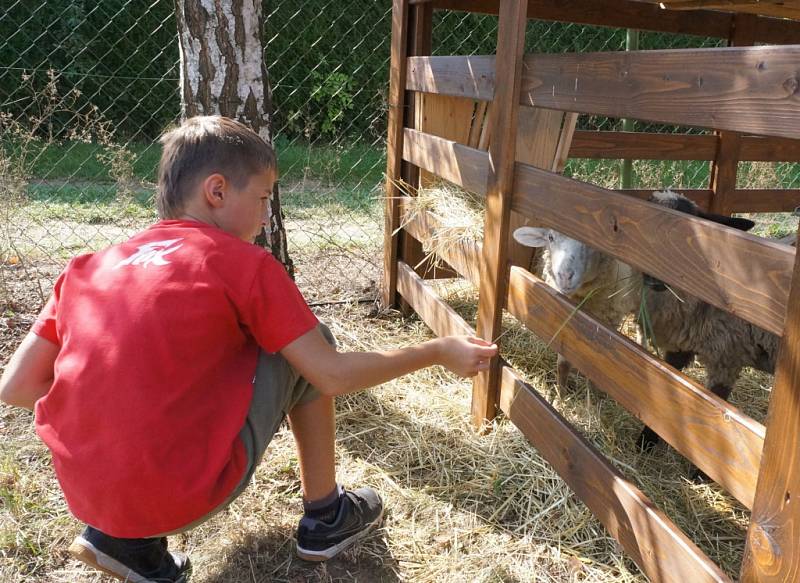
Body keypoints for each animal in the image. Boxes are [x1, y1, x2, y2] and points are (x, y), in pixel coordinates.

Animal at [512, 226, 644, 390]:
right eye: (550, 237)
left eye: (592, 243)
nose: (565, 275)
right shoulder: (566, 322)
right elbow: (563, 364)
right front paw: (560, 392)